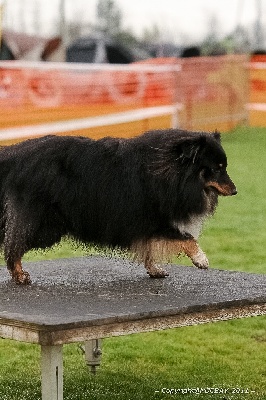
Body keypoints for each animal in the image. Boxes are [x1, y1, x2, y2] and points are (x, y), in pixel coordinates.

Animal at [0, 129, 237, 284]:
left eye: (224, 166)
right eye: (216, 168)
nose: (235, 191)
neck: (170, 172)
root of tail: (16, 153)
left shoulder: (143, 224)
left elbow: (149, 248)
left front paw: (154, 269)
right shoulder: (155, 217)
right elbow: (186, 238)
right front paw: (201, 259)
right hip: (45, 223)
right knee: (14, 243)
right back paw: (19, 274)